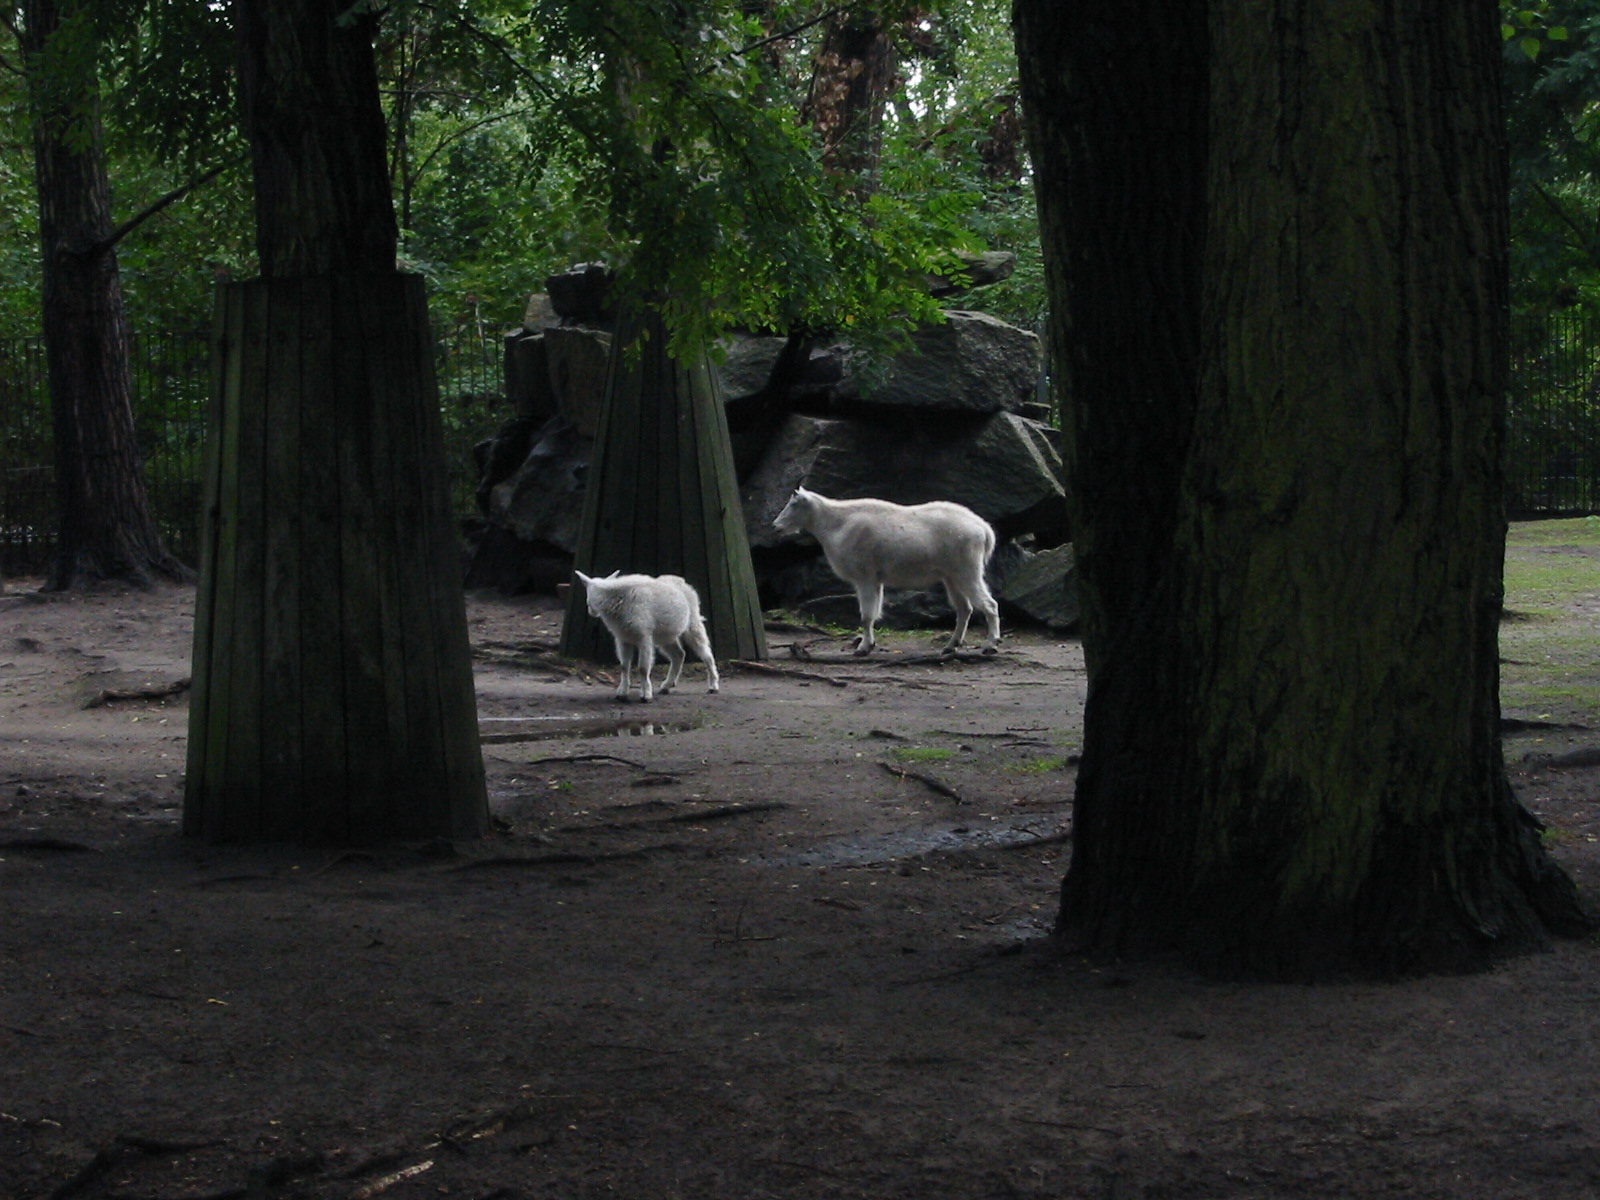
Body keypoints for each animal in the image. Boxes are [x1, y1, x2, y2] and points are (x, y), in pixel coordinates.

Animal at [575, 570, 721, 702]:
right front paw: (622, 694)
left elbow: (643, 668)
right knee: (679, 654)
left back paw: (713, 686)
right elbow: (624, 666)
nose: (590, 611)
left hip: (692, 624)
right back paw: (666, 686)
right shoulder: (623, 638)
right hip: (666, 635)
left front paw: (646, 696)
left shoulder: (644, 637)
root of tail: (685, 583)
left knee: (706, 654)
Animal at [773, 487, 1001, 656]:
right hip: (952, 576)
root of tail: (984, 530)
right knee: (964, 608)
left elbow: (866, 615)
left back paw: (990, 645)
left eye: (793, 504)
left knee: (989, 604)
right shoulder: (875, 580)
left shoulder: (864, 577)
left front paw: (862, 648)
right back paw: (950, 646)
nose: (776, 526)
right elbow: (873, 614)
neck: (836, 525)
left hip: (967, 570)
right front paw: (869, 645)